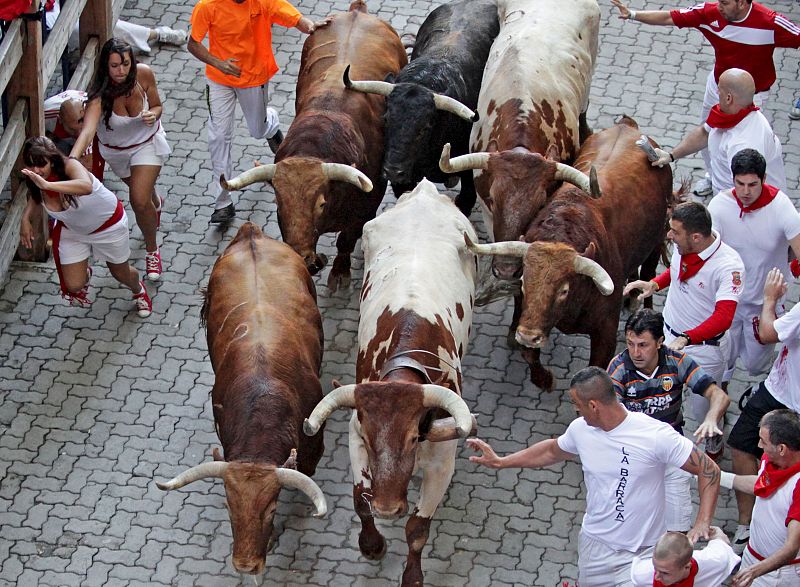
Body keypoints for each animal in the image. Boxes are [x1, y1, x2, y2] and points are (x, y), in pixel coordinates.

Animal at [219, 0, 406, 292]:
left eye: (320, 204)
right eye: (279, 203)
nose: (304, 258)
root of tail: (358, 11)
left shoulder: (369, 199)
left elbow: (347, 238)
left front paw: (339, 271)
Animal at [466, 117, 672, 392]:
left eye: (563, 290)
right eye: (524, 284)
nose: (527, 335)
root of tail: (627, 126)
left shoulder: (605, 331)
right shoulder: (530, 316)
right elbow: (528, 353)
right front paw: (543, 378)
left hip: (657, 238)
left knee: (649, 275)